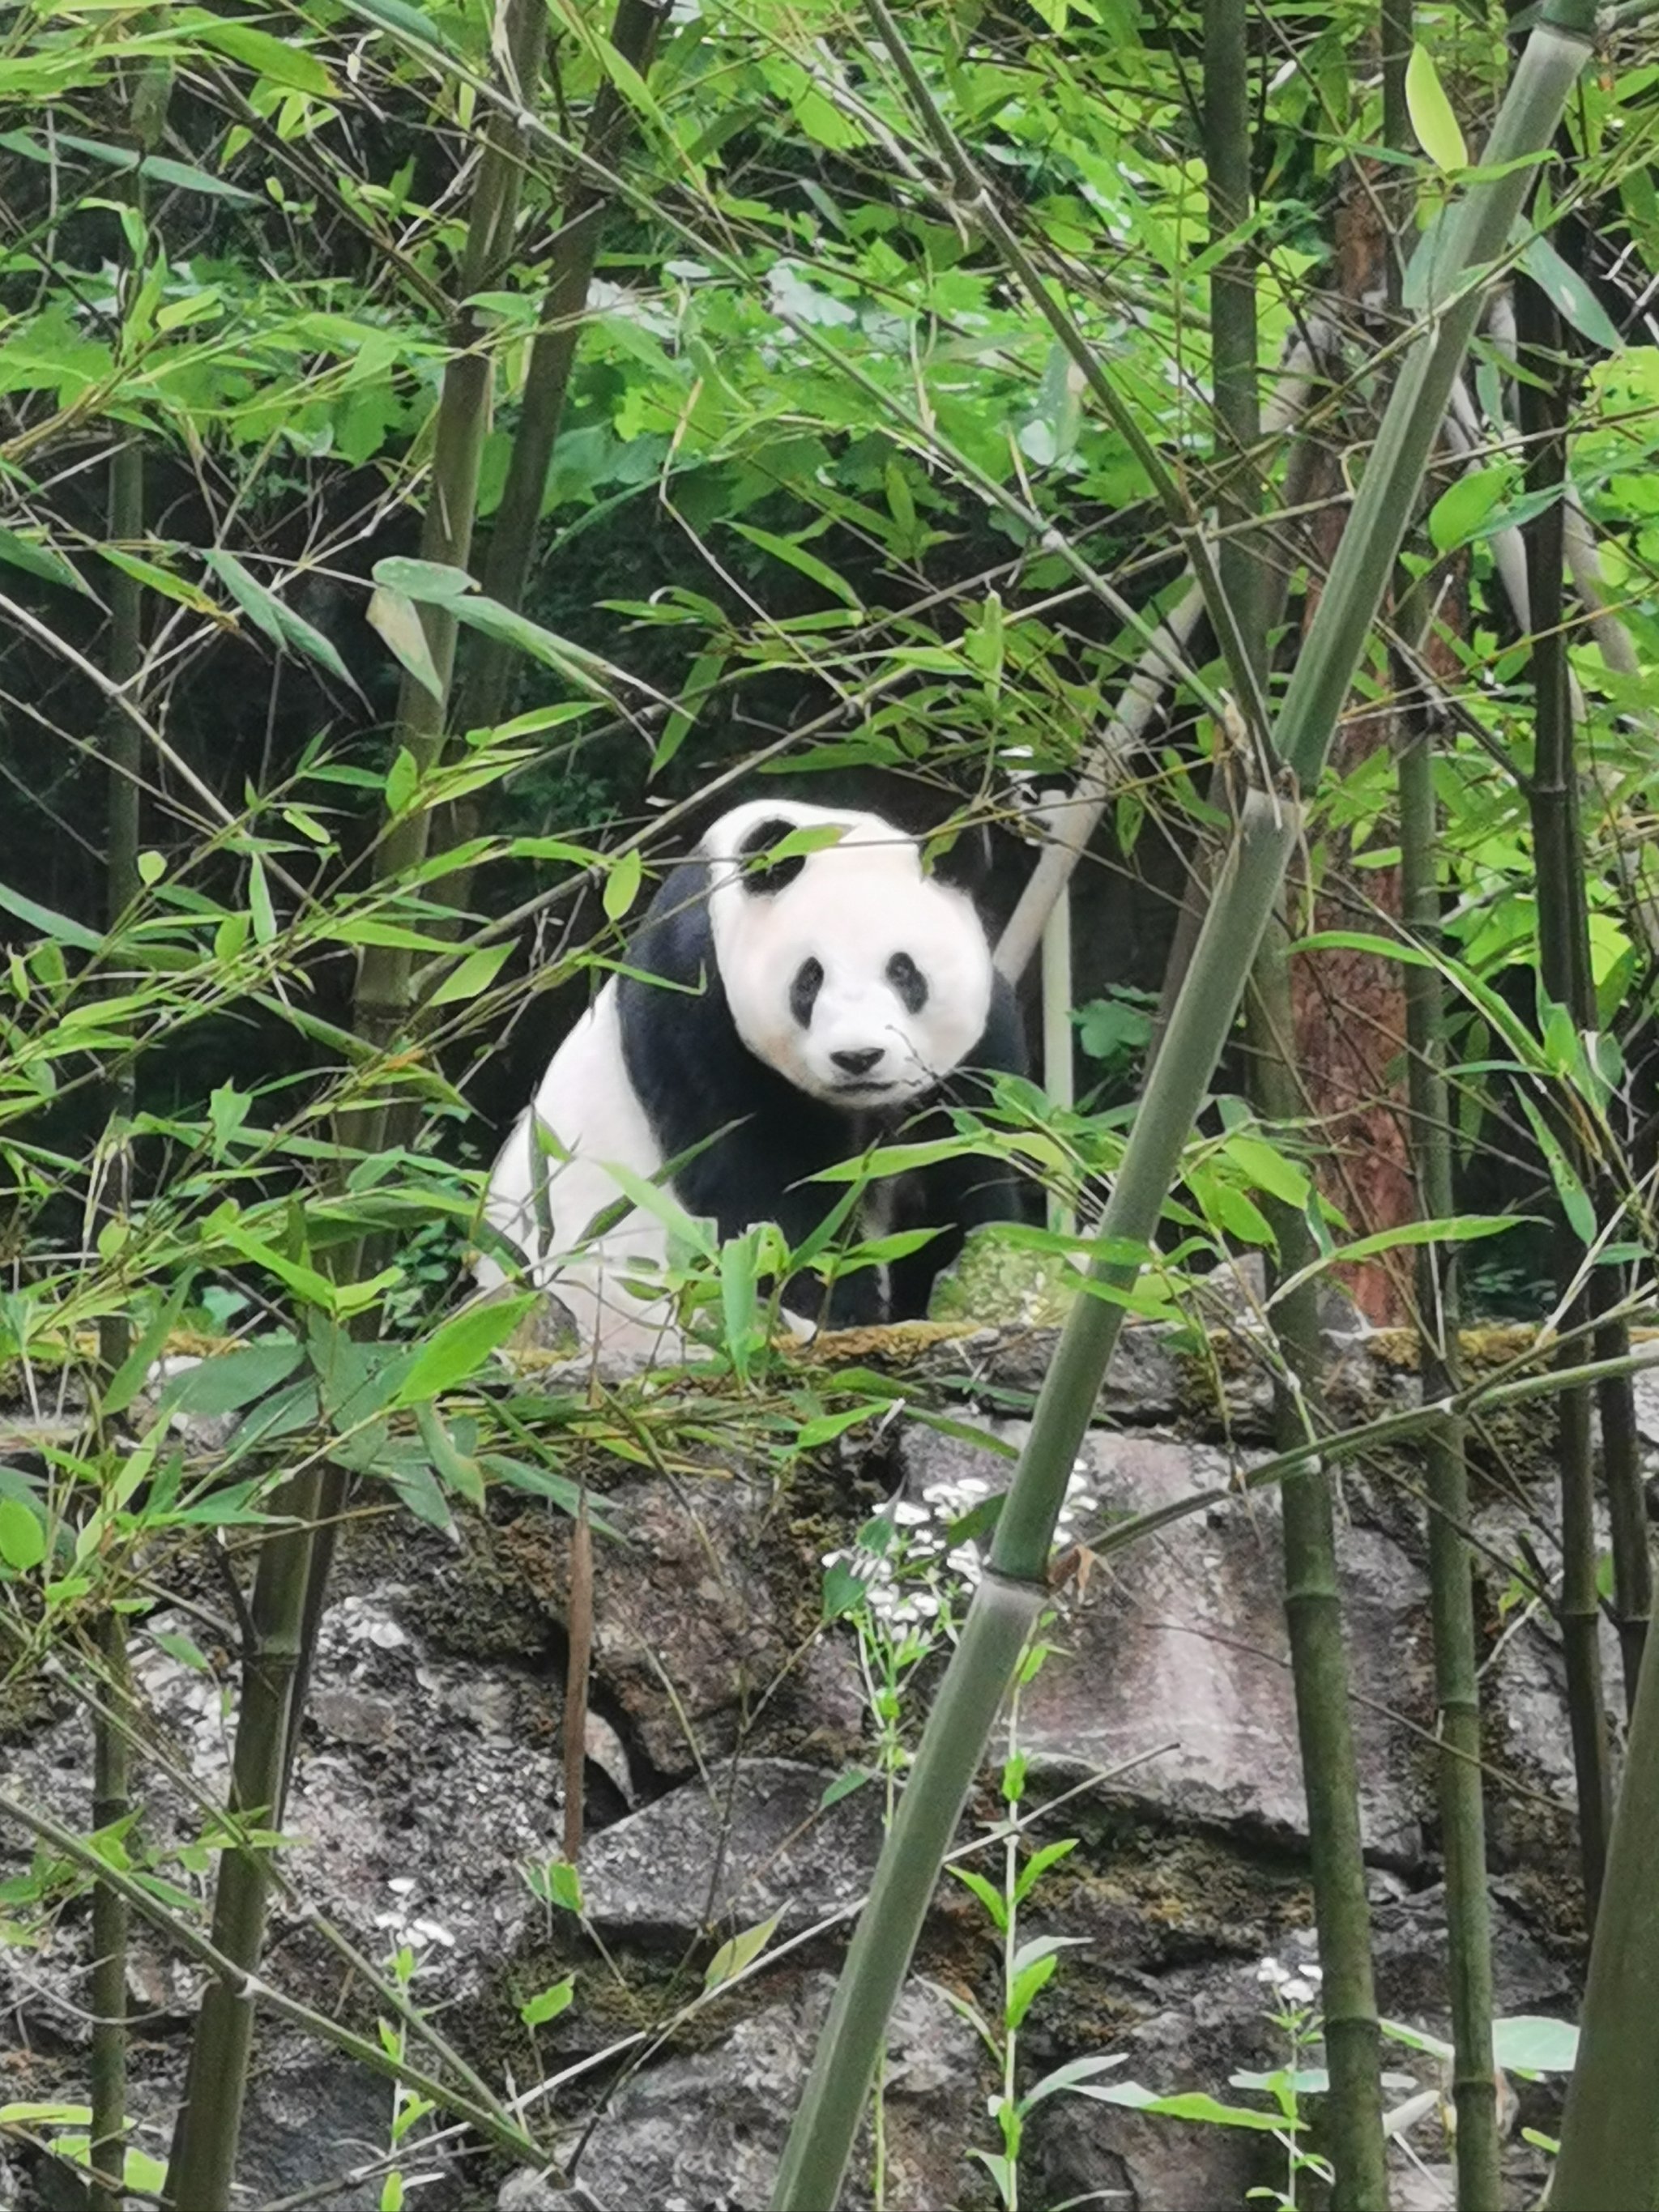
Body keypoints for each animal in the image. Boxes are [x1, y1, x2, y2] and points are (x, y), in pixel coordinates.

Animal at [473, 796, 1034, 1345]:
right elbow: (760, 1185)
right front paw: (839, 1306)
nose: (858, 1057)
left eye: (903, 970)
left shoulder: (977, 1055)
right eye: (809, 978)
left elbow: (964, 1169)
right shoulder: (697, 999)